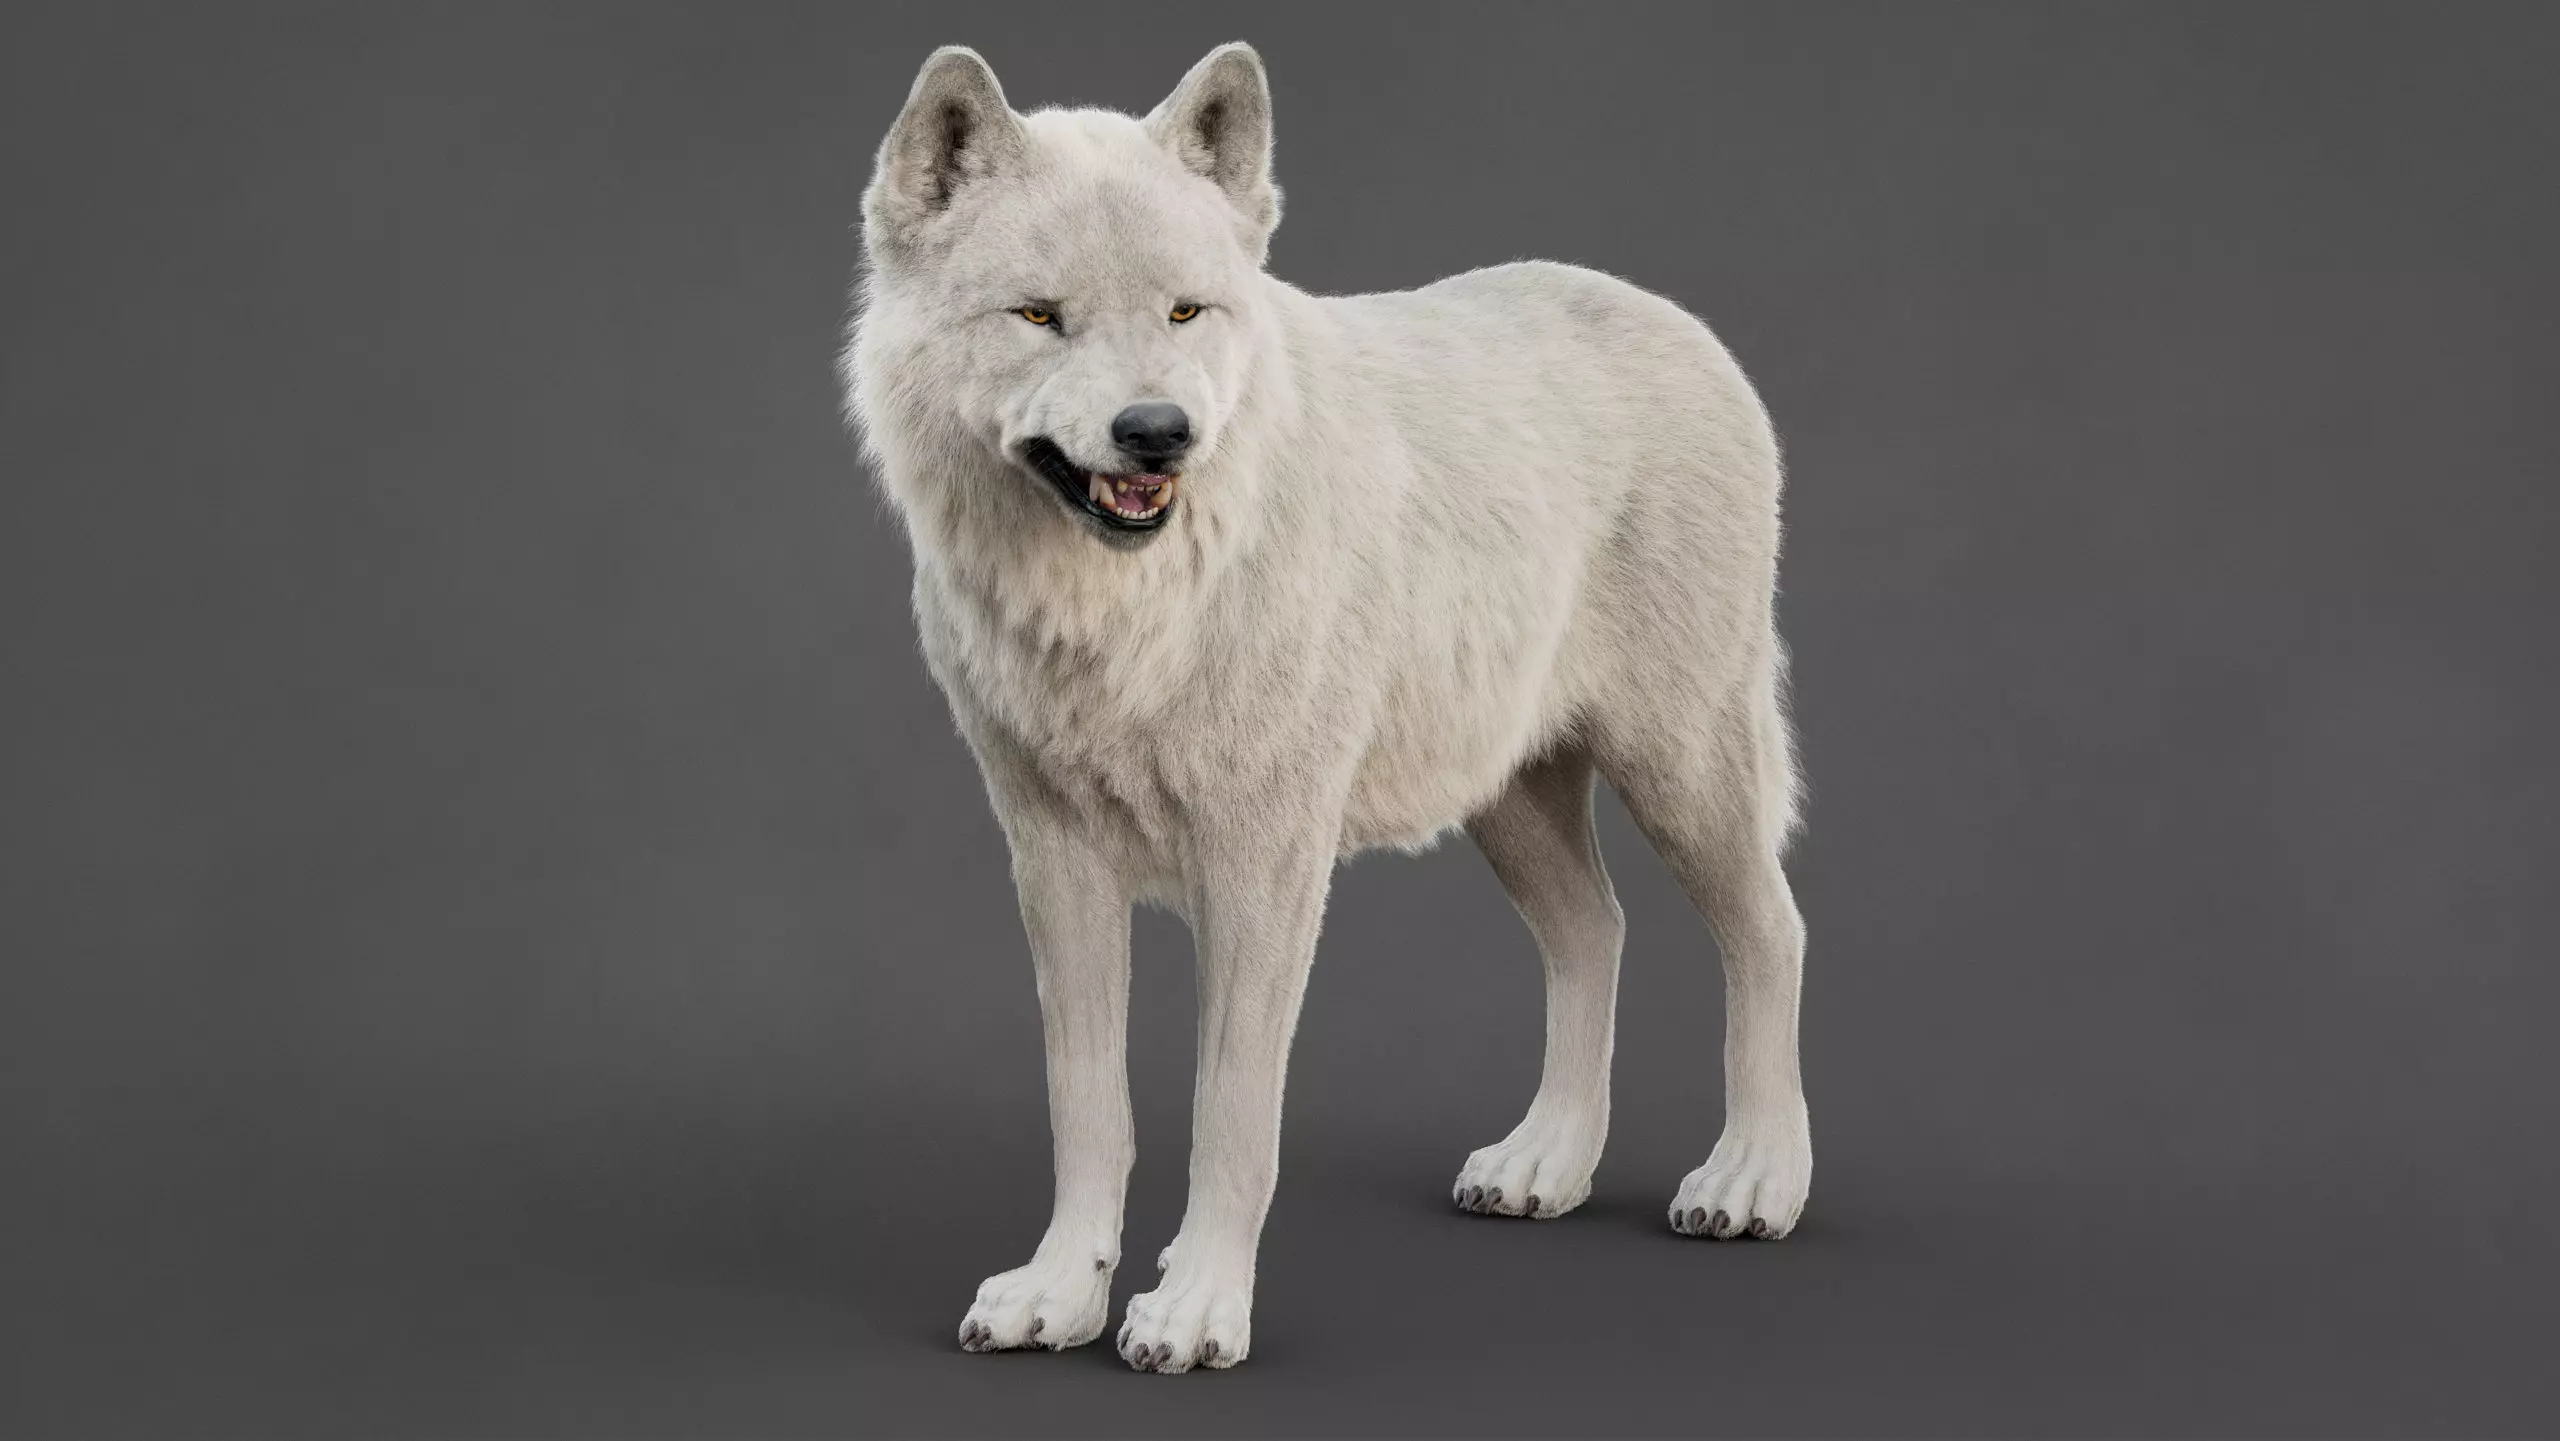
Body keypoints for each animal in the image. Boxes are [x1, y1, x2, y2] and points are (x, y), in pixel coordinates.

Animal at [842, 42, 1812, 1373]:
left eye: (1185, 313)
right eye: (1039, 314)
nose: (1159, 431)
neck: (1135, 610)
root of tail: (1681, 323)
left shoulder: (1264, 864)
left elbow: (1230, 1112)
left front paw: (1195, 1310)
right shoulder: (1053, 860)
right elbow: (1087, 1105)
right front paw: (1058, 1295)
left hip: (1680, 769)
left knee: (1770, 932)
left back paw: (1754, 1178)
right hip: (1509, 800)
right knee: (1595, 931)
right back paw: (1544, 1164)